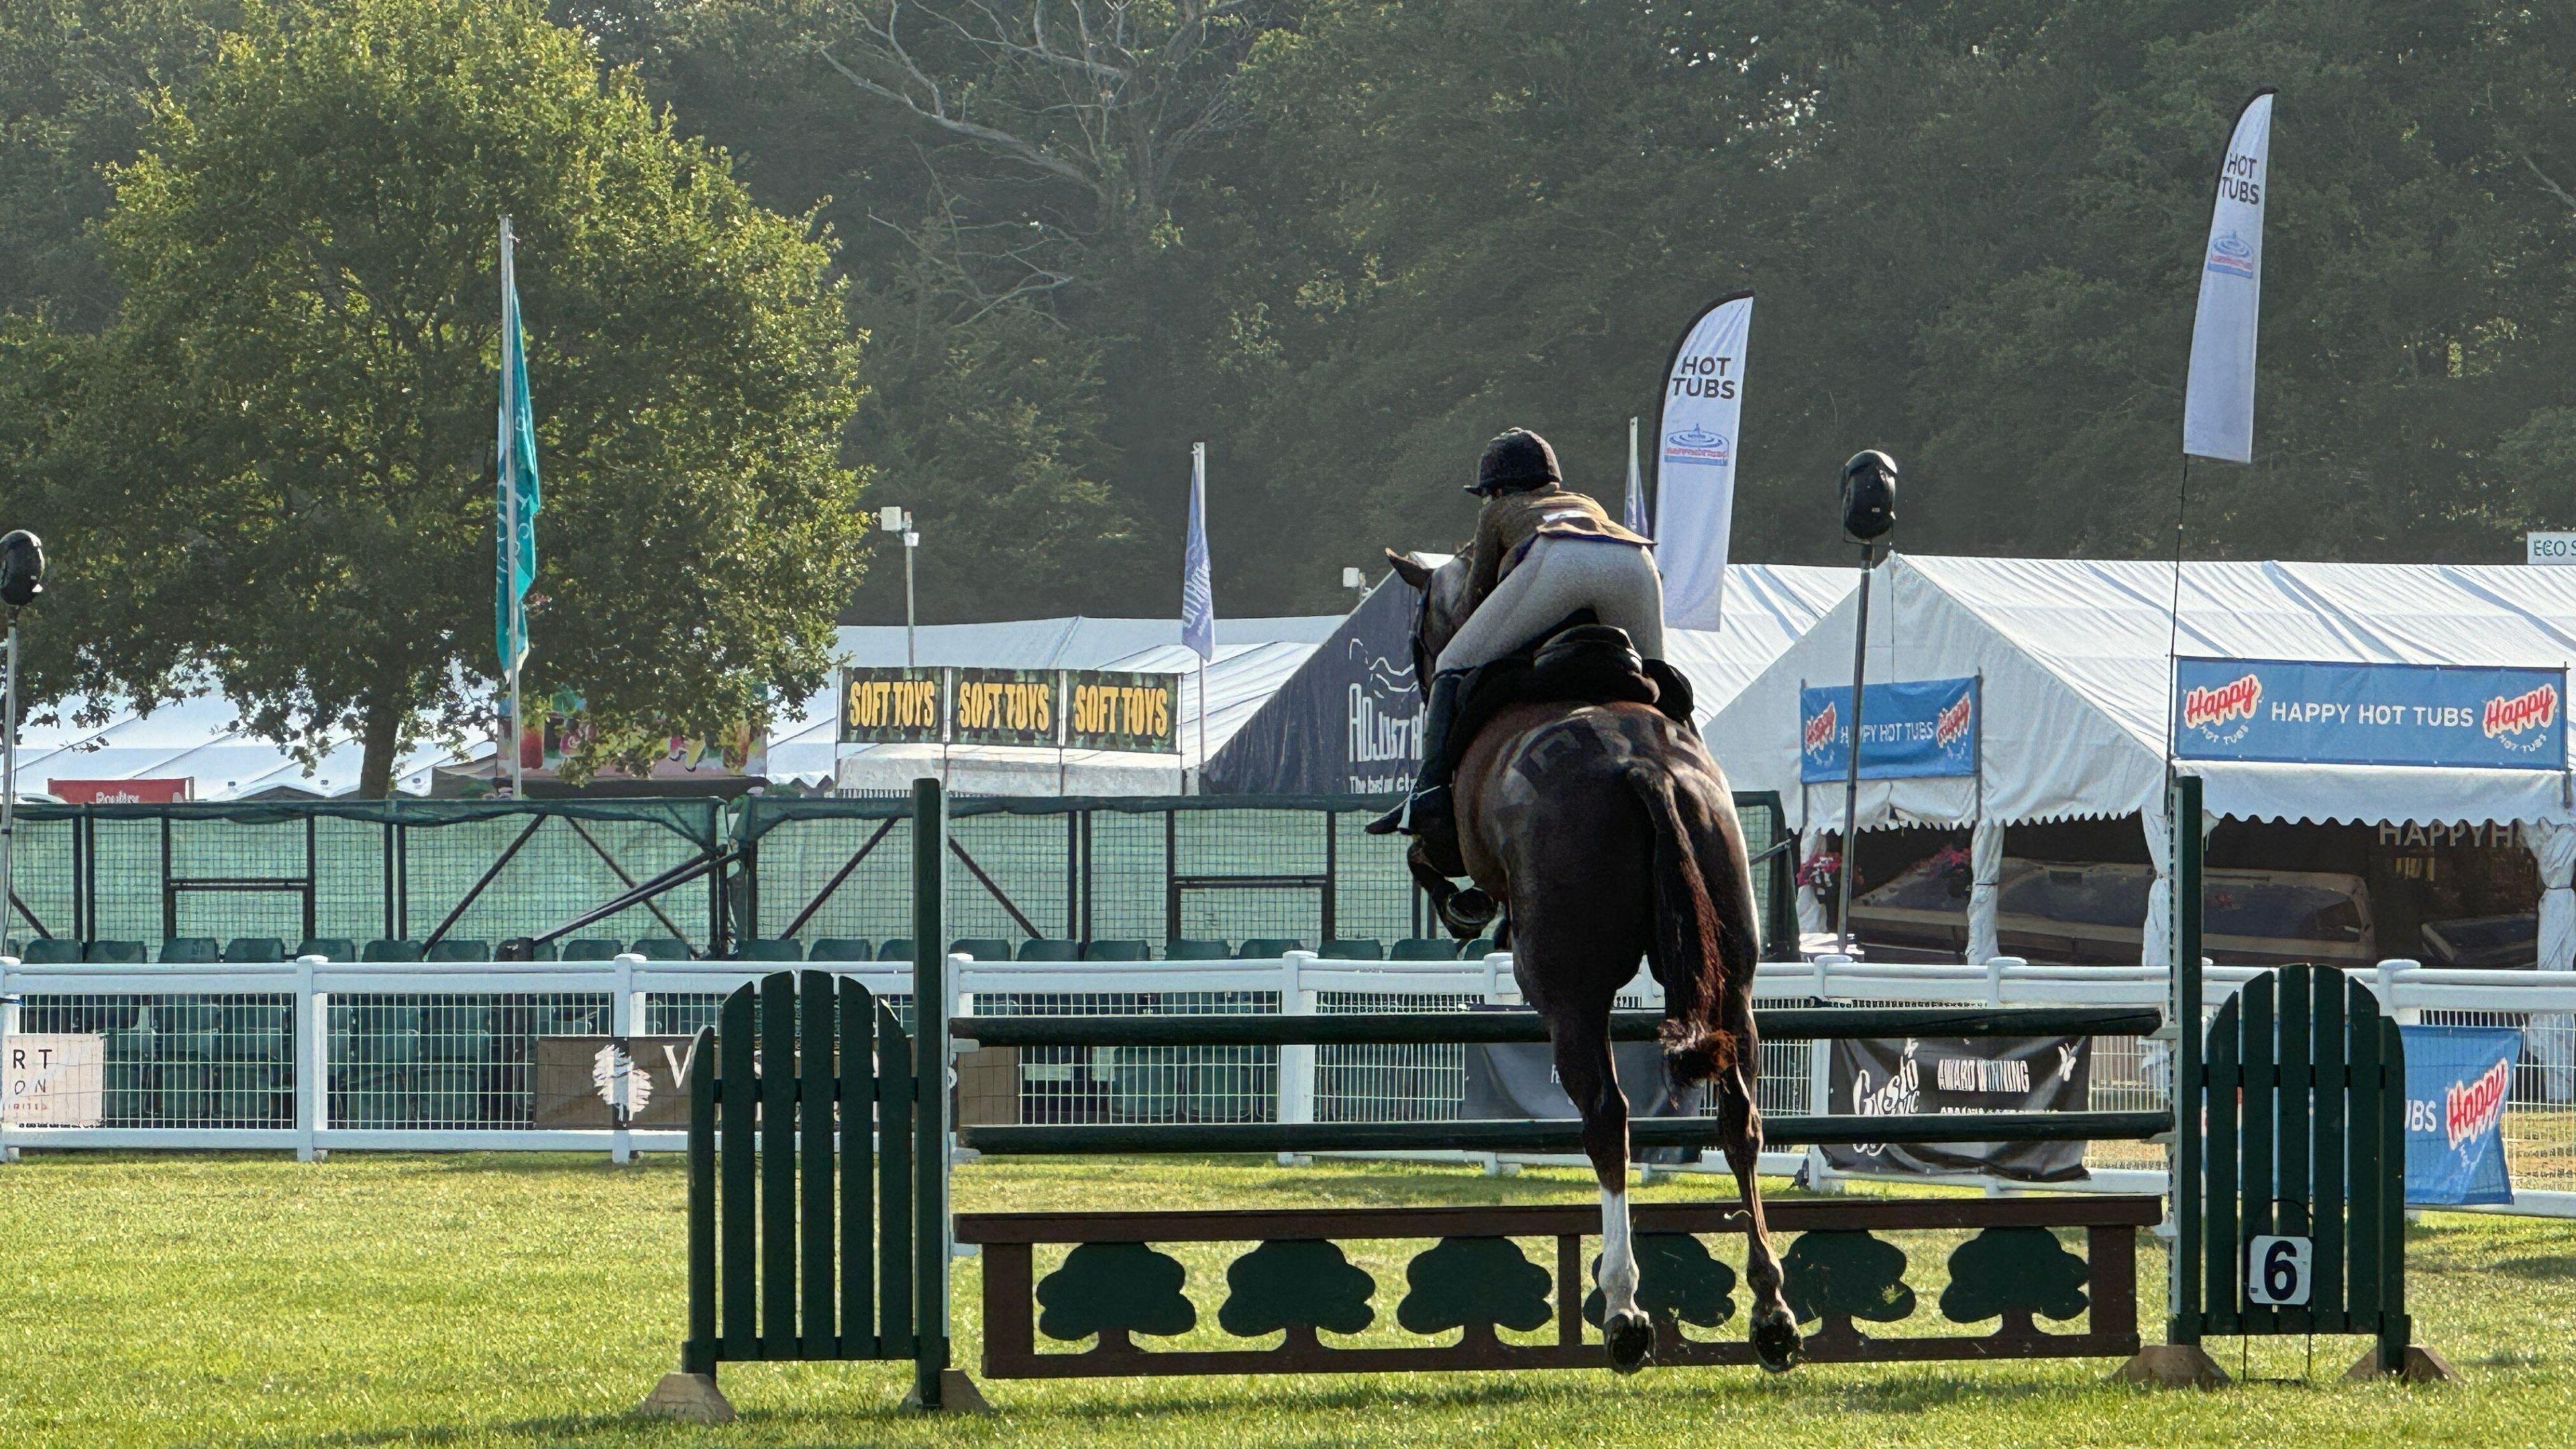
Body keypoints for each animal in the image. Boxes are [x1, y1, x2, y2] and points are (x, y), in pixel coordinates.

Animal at [1391, 546, 1792, 1371]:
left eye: (1419, 636)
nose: (1420, 668)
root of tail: (1645, 770)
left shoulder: (1449, 840)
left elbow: (1423, 853)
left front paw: (1462, 907)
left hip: (1568, 993)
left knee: (1608, 1114)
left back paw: (1624, 1310)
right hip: (1734, 981)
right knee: (1740, 1117)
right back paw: (1772, 1310)